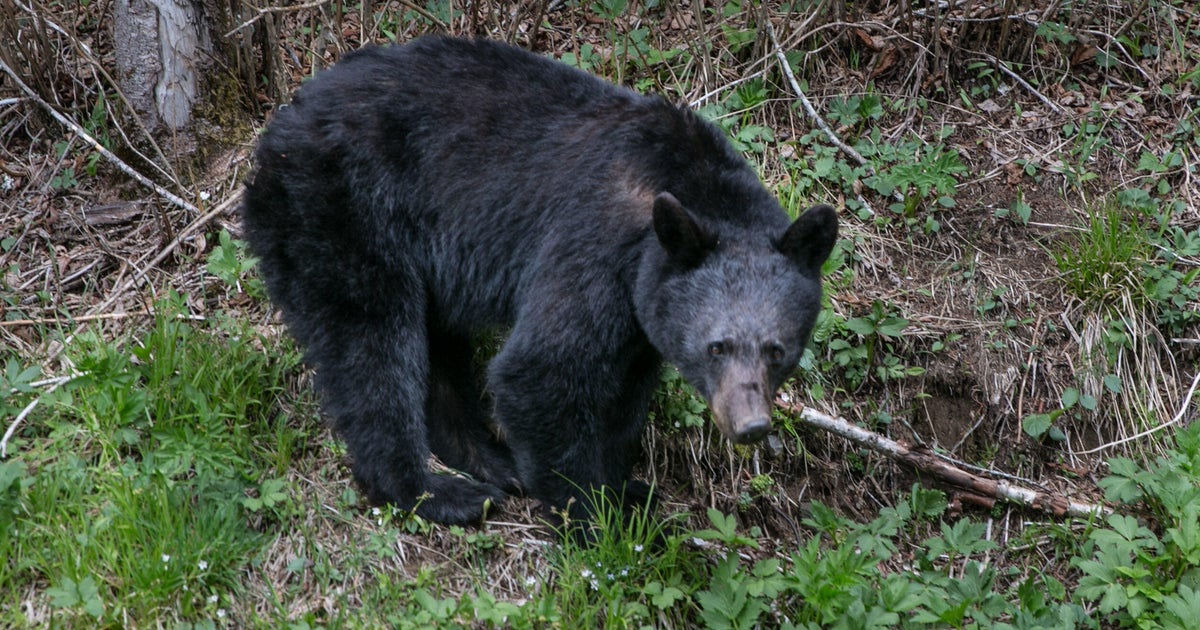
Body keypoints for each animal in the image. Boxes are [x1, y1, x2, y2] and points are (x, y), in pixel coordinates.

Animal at [241, 36, 838, 527]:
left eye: (778, 350)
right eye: (717, 346)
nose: (751, 426)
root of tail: (276, 129)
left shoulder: (643, 311)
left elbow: (624, 395)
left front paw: (624, 488)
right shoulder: (593, 247)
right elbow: (540, 372)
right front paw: (594, 516)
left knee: (436, 350)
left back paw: (491, 461)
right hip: (341, 212)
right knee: (370, 345)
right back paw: (434, 492)